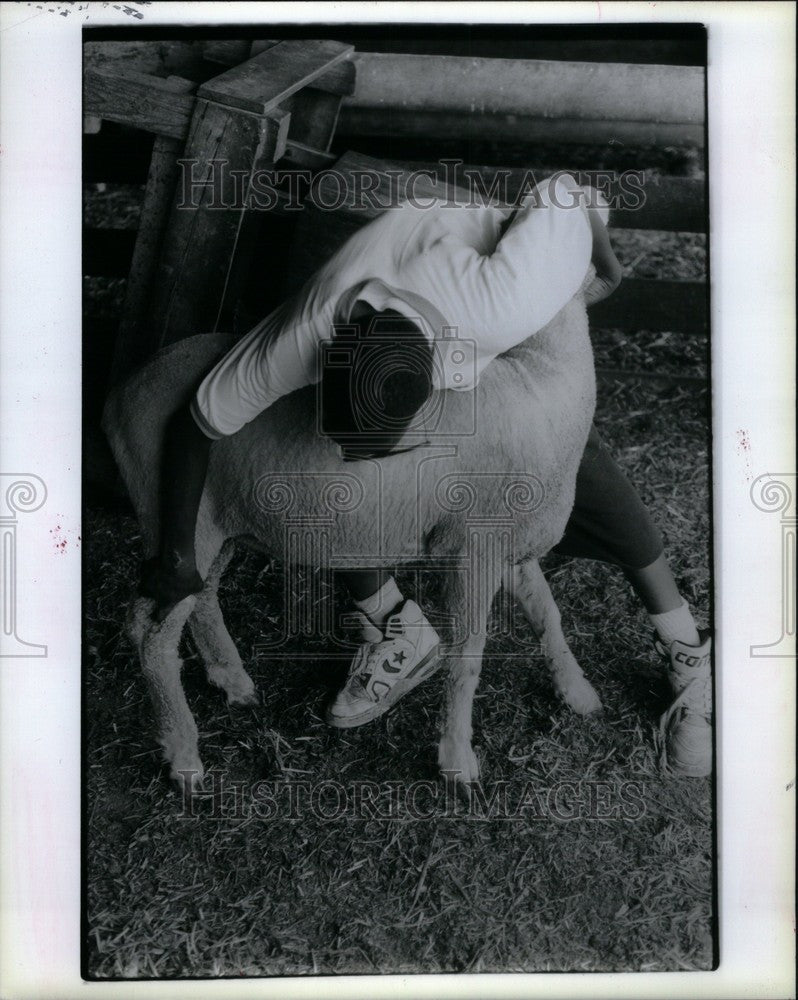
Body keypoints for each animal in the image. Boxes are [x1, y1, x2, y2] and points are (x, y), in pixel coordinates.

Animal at [104, 284, 608, 796]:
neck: (542, 384)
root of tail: (123, 392)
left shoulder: (511, 546)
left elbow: (548, 614)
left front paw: (578, 692)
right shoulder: (473, 548)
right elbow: (468, 655)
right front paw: (456, 759)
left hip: (217, 524)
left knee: (202, 597)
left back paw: (232, 680)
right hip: (175, 520)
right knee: (151, 633)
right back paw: (183, 754)